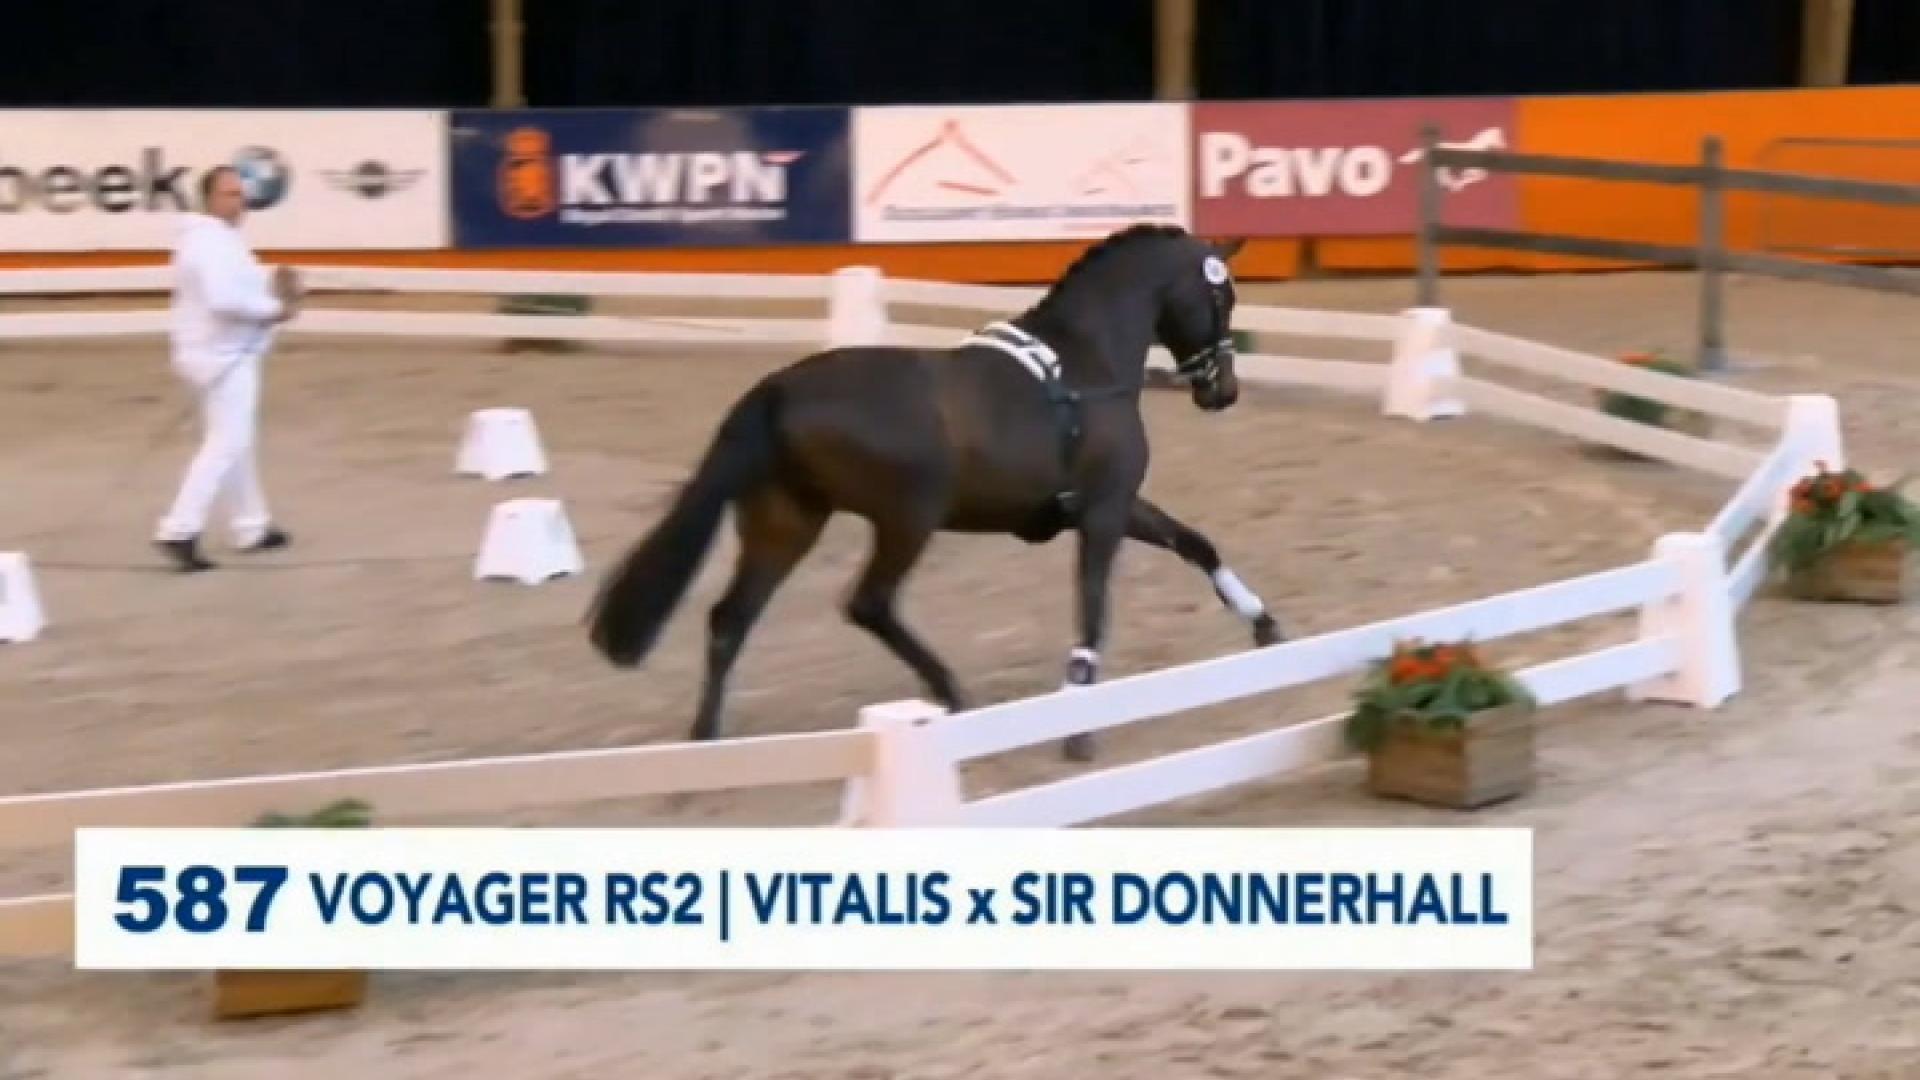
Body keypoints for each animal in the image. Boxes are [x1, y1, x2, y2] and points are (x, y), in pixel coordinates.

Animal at [585, 222, 1283, 762]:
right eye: (1221, 296)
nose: (1223, 391)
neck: (1085, 366)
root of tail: (776, 390)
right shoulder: (1104, 513)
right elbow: (1093, 608)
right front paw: (1080, 726)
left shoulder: (1106, 505)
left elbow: (1196, 544)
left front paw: (1265, 625)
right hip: (906, 519)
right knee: (868, 604)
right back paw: (951, 695)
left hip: (788, 523)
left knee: (731, 618)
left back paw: (705, 744)